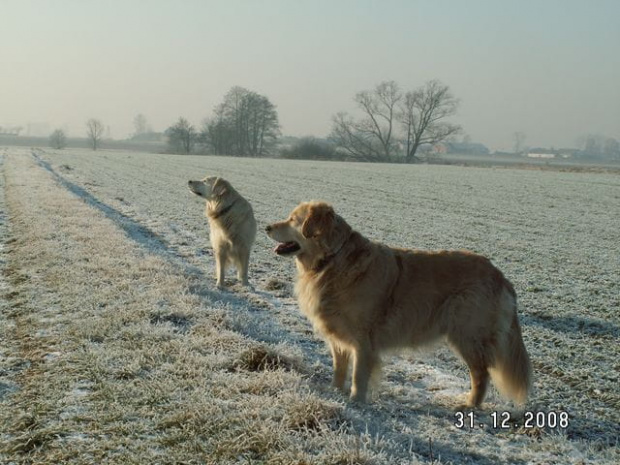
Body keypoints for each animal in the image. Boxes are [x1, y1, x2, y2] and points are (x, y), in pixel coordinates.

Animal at [264, 201, 532, 404]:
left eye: (292, 219)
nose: (266, 226)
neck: (332, 260)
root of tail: (500, 275)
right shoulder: (338, 338)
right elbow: (339, 369)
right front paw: (336, 392)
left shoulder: (363, 341)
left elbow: (358, 375)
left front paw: (356, 401)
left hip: (467, 335)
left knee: (481, 374)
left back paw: (469, 405)